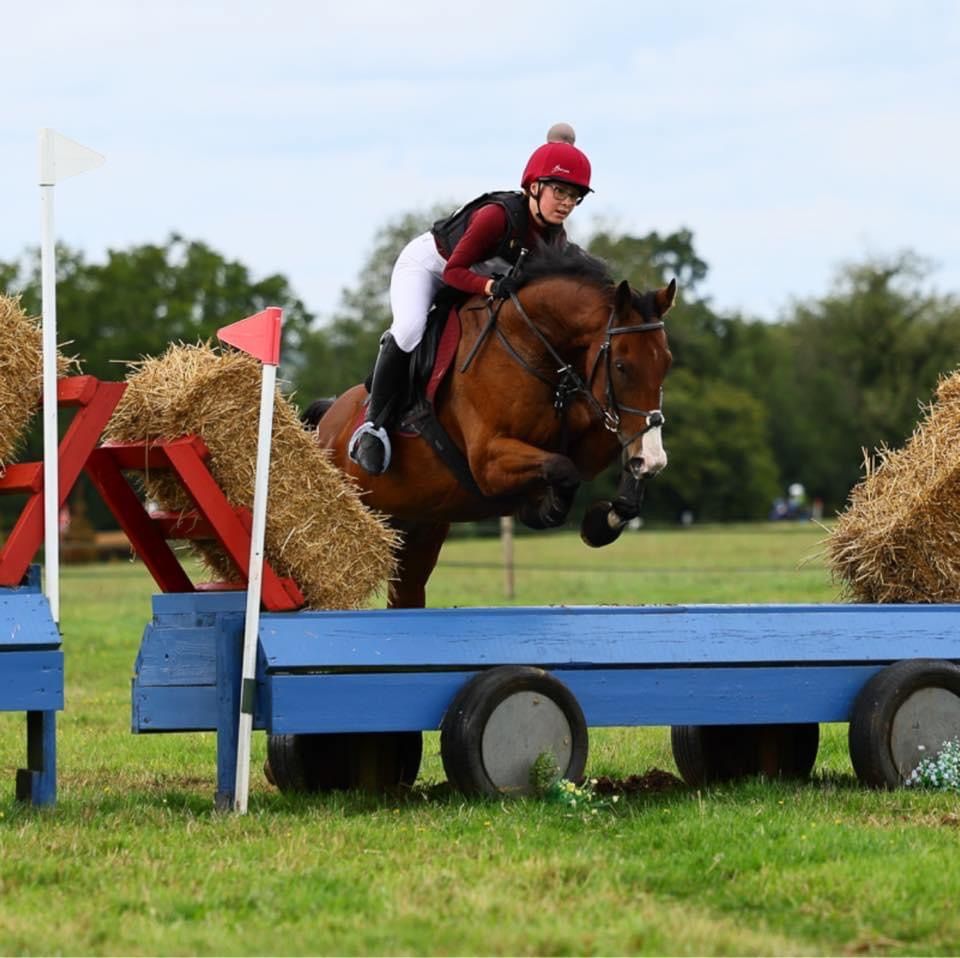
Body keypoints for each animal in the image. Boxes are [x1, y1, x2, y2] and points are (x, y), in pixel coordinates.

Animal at [308, 248, 676, 608]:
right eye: (621, 366)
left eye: (667, 363)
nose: (655, 459)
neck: (530, 346)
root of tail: (328, 420)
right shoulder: (488, 461)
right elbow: (562, 469)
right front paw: (543, 509)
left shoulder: (586, 440)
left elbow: (604, 466)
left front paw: (606, 518)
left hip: (418, 529)